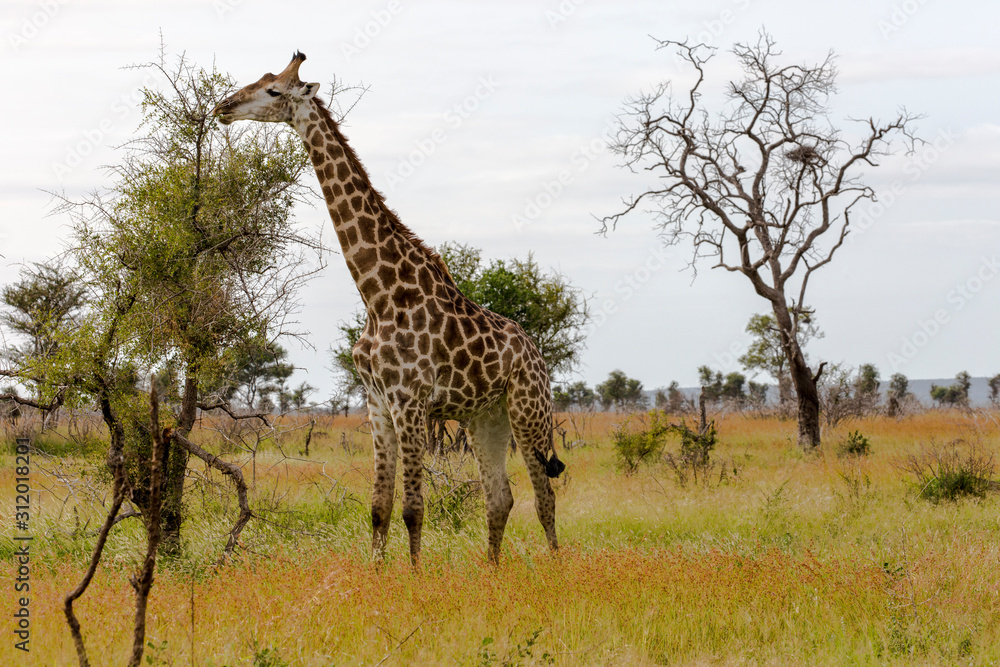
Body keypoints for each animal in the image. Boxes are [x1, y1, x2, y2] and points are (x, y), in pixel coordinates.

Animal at [213, 52, 565, 565]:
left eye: (275, 91)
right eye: (259, 80)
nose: (224, 106)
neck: (377, 294)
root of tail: (537, 353)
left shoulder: (409, 400)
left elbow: (413, 509)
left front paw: (415, 578)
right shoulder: (377, 401)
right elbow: (379, 507)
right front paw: (377, 574)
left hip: (529, 408)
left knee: (545, 497)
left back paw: (555, 567)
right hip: (486, 417)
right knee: (500, 497)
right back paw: (492, 572)